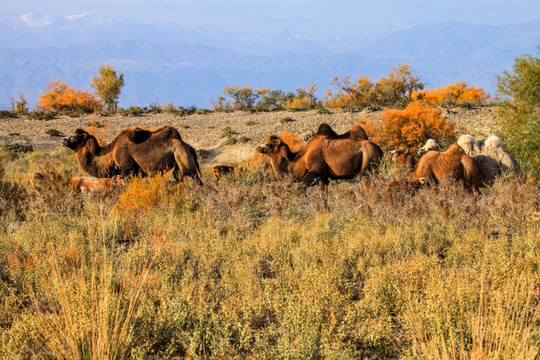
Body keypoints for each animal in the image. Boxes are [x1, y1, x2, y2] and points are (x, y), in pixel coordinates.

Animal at [63, 125, 202, 184]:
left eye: (74, 137)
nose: (63, 140)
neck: (111, 155)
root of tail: (187, 146)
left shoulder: (127, 171)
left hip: (183, 157)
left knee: (194, 178)